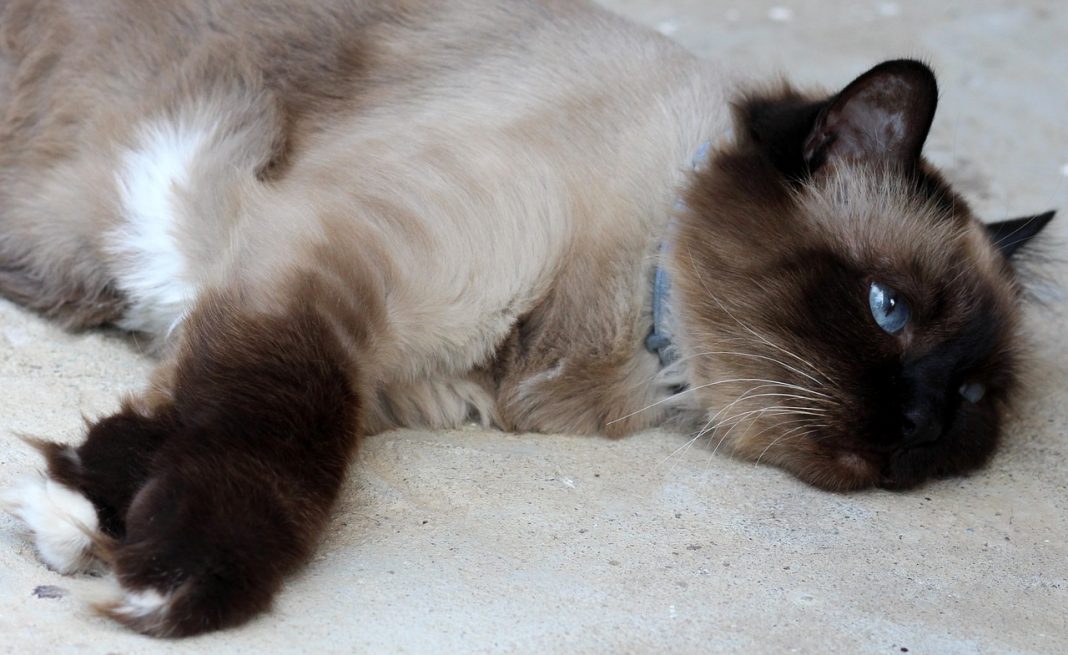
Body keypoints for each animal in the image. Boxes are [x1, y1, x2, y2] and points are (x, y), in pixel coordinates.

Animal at [0, 0, 1050, 636]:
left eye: (973, 394)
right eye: (888, 309)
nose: (921, 424)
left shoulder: (370, 354)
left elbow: (200, 414)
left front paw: (98, 516)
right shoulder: (334, 263)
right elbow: (277, 426)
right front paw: (179, 569)